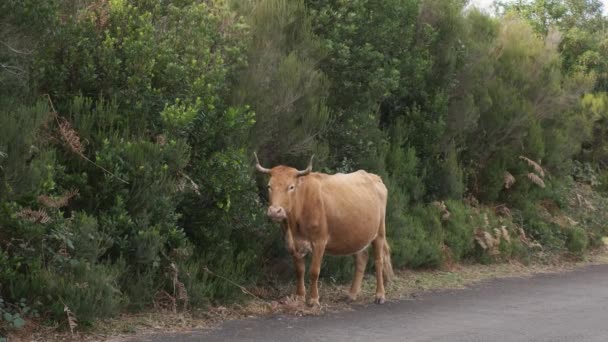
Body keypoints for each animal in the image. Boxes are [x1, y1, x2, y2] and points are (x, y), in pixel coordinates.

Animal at [253, 154, 392, 306]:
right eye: (269, 186)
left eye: (291, 187)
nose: (275, 211)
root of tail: (374, 177)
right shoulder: (293, 244)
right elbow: (299, 270)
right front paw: (299, 296)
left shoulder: (319, 241)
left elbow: (314, 271)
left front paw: (313, 299)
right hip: (356, 235)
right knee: (361, 259)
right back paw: (352, 294)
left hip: (379, 232)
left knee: (379, 261)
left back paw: (380, 295)